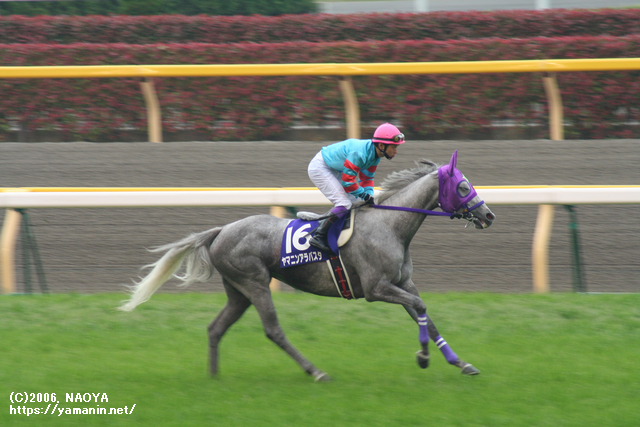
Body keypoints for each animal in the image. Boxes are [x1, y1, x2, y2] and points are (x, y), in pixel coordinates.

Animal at [120, 150, 496, 381]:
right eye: (464, 185)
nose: (489, 215)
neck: (390, 226)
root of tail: (220, 231)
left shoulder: (403, 284)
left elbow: (424, 313)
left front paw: (461, 363)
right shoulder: (377, 289)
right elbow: (419, 308)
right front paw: (423, 357)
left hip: (237, 290)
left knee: (215, 328)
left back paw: (213, 376)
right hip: (255, 282)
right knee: (273, 330)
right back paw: (316, 372)